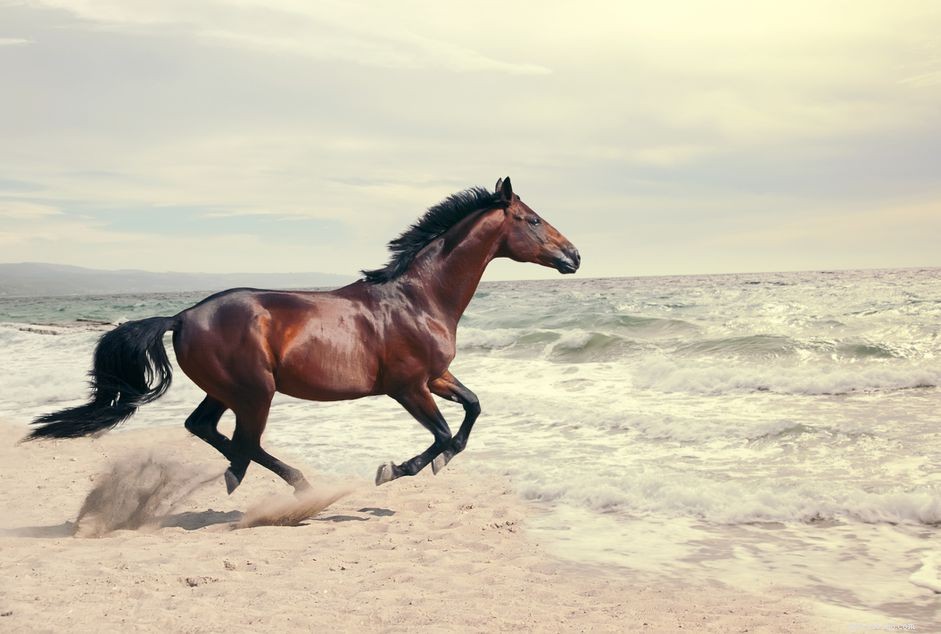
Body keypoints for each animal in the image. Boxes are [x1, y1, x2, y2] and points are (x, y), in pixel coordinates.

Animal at [26, 177, 580, 493]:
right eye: (533, 220)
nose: (574, 256)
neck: (418, 298)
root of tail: (182, 316)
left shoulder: (436, 377)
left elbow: (472, 410)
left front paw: (435, 463)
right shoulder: (408, 387)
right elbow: (443, 433)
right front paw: (396, 470)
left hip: (227, 390)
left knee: (208, 429)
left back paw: (263, 478)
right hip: (255, 391)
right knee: (242, 440)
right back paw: (279, 482)